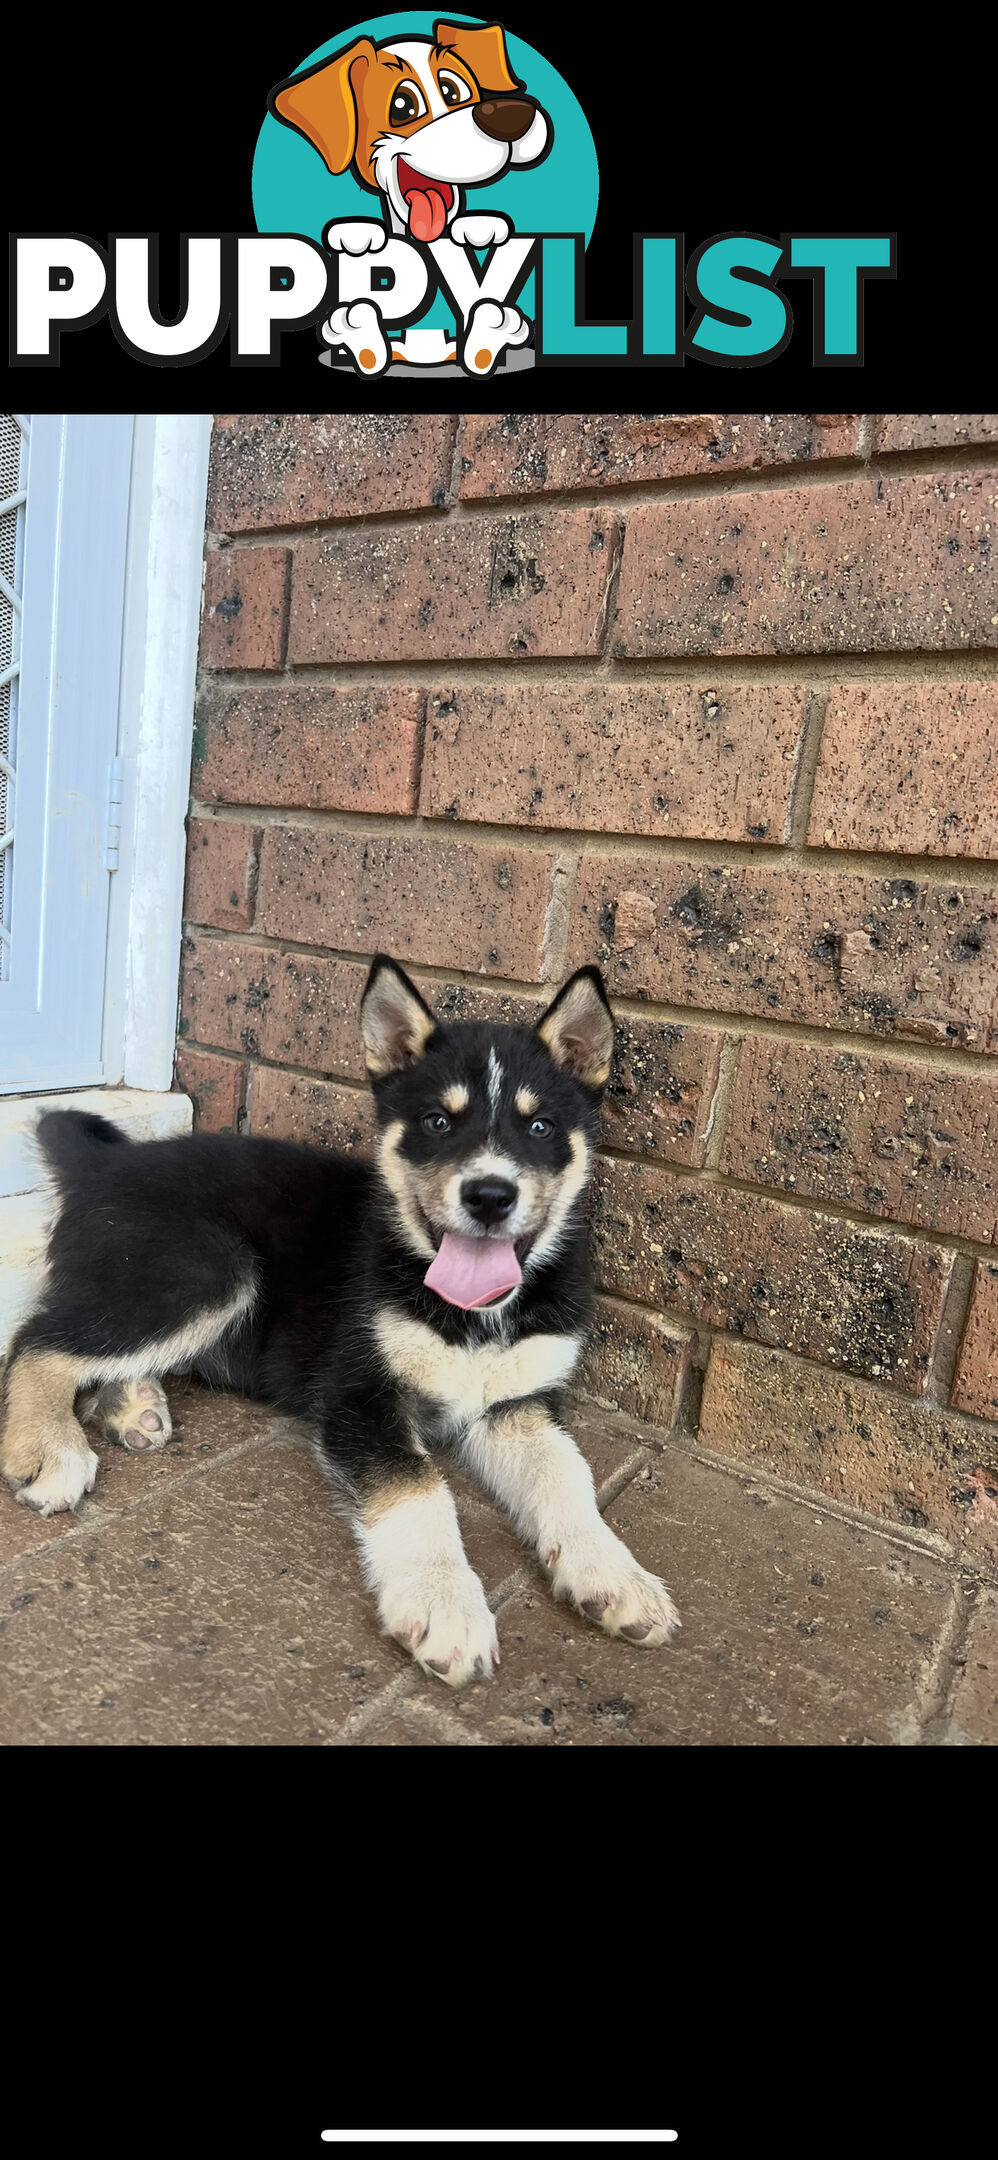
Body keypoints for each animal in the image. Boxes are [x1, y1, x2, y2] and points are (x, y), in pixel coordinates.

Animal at [0, 963, 678, 1684]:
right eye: (437, 1121)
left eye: (542, 1127)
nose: (490, 1196)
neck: (474, 1313)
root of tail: (108, 1164)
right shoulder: (359, 1392)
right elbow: (420, 1486)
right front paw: (444, 1603)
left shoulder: (517, 1407)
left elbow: (568, 1479)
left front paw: (615, 1574)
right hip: (208, 1267)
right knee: (39, 1342)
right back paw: (49, 1448)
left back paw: (132, 1405)